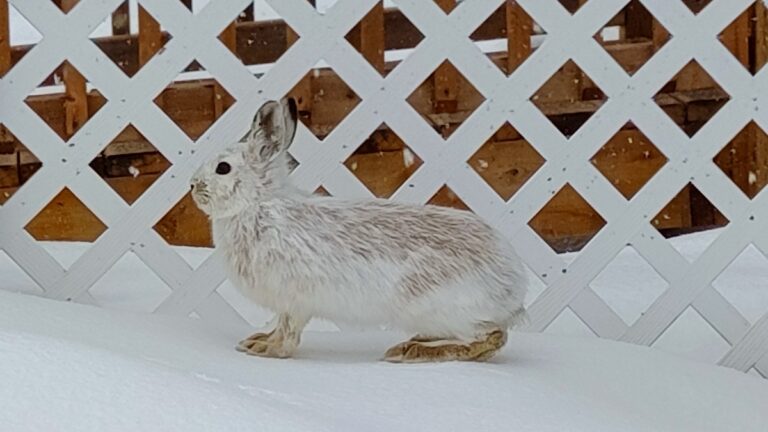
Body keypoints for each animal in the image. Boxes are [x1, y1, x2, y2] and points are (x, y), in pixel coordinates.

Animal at [190, 97, 529, 363]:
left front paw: (265, 349)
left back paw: (412, 351)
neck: (258, 203)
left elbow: (288, 333)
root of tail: (513, 289)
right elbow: (280, 327)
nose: (192, 186)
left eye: (223, 168)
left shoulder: (294, 300)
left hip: (441, 309)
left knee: (492, 337)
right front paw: (257, 339)